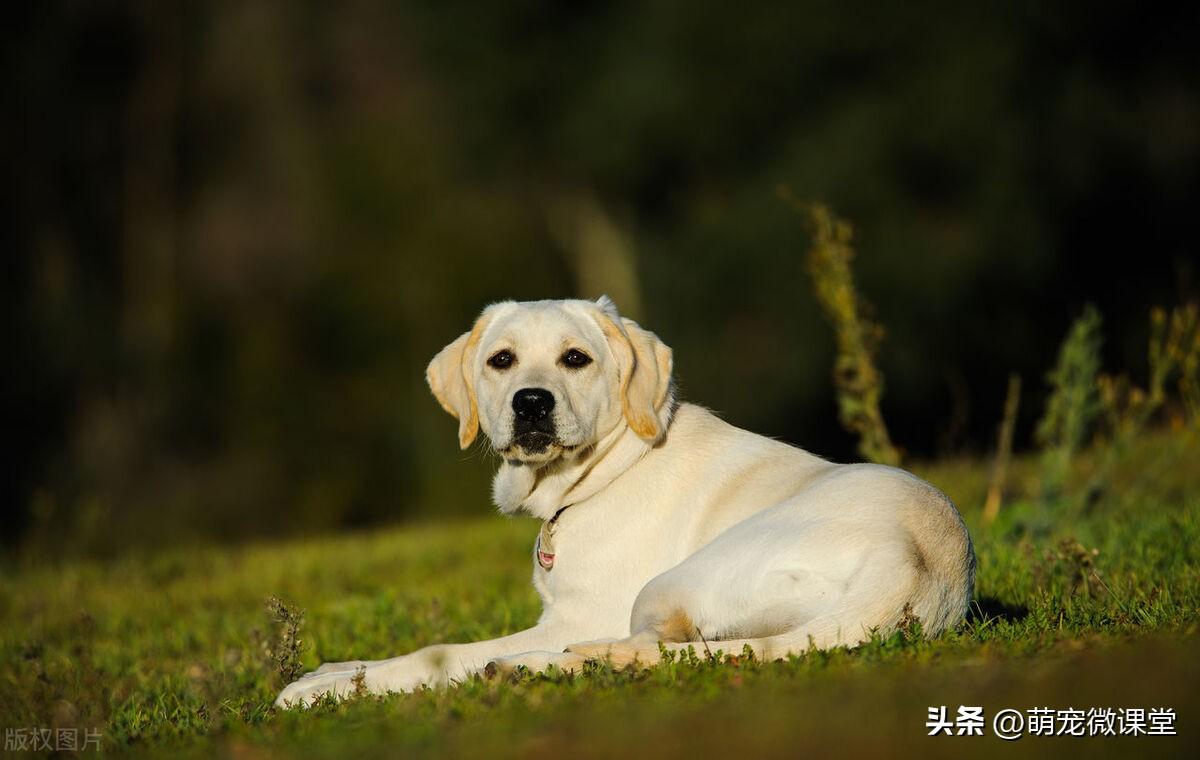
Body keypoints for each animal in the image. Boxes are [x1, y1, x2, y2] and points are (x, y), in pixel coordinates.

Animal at [274, 295, 974, 705]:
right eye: (501, 360)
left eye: (575, 359)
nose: (532, 403)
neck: (600, 474)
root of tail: (919, 565)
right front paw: (326, 672)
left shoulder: (578, 616)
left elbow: (437, 653)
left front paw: (321, 694)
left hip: (670, 584)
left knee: (656, 652)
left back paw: (528, 666)